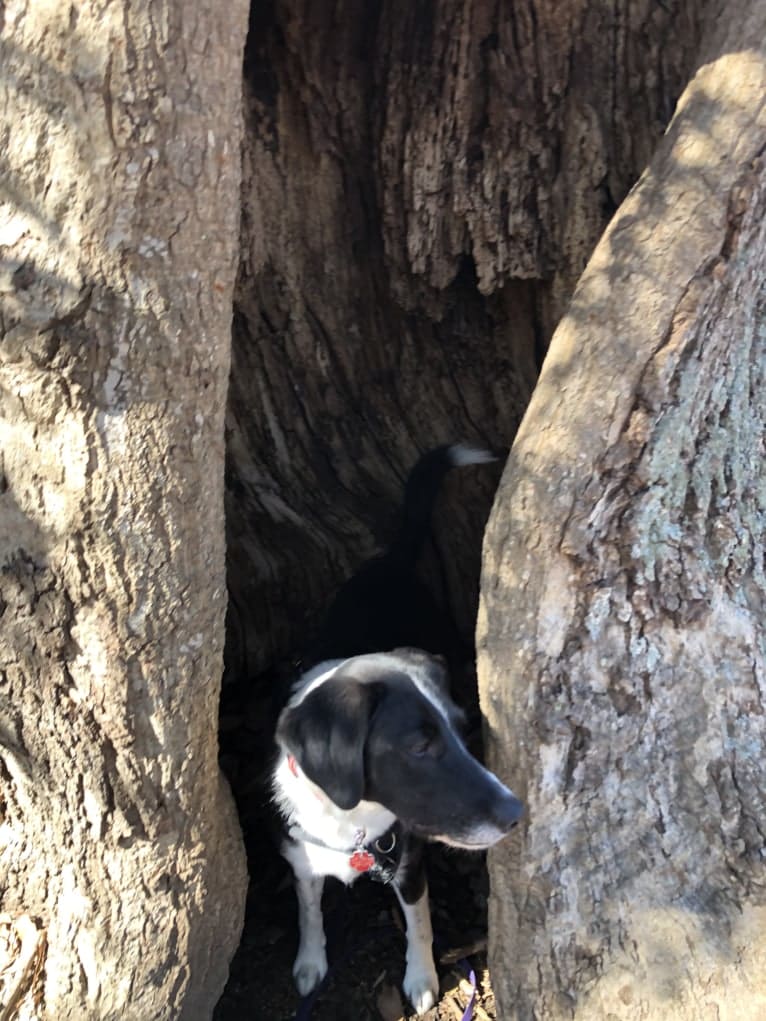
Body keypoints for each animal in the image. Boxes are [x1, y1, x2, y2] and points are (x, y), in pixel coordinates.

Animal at [273, 445, 527, 1012]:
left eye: (464, 728)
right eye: (419, 747)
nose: (517, 813)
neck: (352, 823)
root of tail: (391, 561)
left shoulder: (408, 867)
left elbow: (419, 926)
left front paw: (421, 978)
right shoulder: (300, 859)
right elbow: (308, 913)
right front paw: (309, 963)